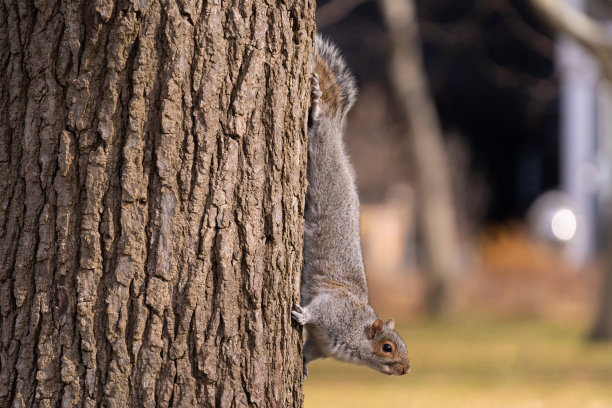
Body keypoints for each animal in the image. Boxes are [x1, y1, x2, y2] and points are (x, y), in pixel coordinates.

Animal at [292, 36, 412, 378]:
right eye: (387, 347)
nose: (406, 369)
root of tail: (336, 127)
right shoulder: (334, 309)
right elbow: (316, 309)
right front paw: (302, 316)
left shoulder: (320, 346)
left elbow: (308, 352)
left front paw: (302, 366)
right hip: (322, 151)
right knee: (318, 126)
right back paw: (317, 105)